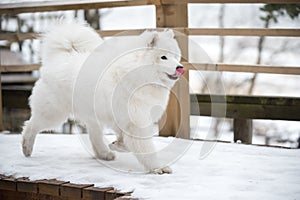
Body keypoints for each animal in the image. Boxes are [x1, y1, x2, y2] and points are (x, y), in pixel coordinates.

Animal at [21, 19, 184, 173]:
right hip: (54, 113)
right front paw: (158, 167)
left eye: (175, 57)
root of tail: (59, 58)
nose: (180, 67)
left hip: (92, 115)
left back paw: (104, 153)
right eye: (163, 57)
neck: (137, 75)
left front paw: (117, 145)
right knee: (31, 125)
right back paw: (26, 148)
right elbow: (146, 149)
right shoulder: (136, 121)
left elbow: (125, 140)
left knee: (95, 136)